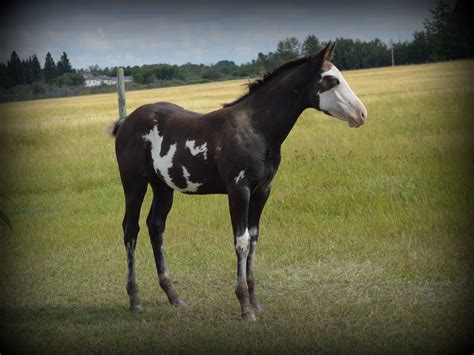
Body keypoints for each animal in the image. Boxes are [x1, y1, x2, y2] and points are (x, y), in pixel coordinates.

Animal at [110, 41, 366, 320]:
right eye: (331, 80)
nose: (361, 114)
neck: (255, 130)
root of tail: (126, 122)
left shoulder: (262, 192)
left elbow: (253, 239)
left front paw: (254, 301)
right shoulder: (238, 191)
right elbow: (241, 242)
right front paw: (244, 306)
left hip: (163, 188)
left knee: (155, 227)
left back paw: (173, 296)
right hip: (134, 184)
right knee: (130, 230)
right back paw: (135, 299)